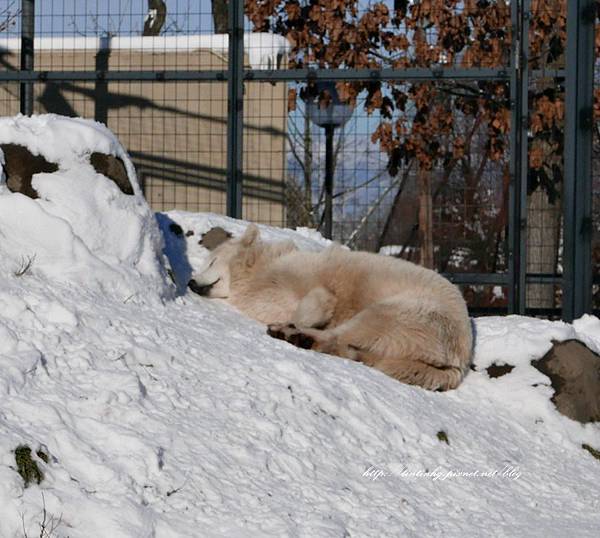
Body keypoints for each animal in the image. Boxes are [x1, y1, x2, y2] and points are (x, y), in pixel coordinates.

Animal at [189, 223, 474, 390]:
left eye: (211, 261)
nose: (191, 282)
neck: (258, 270)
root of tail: (461, 357)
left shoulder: (301, 278)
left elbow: (316, 299)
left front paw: (309, 315)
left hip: (406, 311)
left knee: (355, 329)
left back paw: (292, 333)